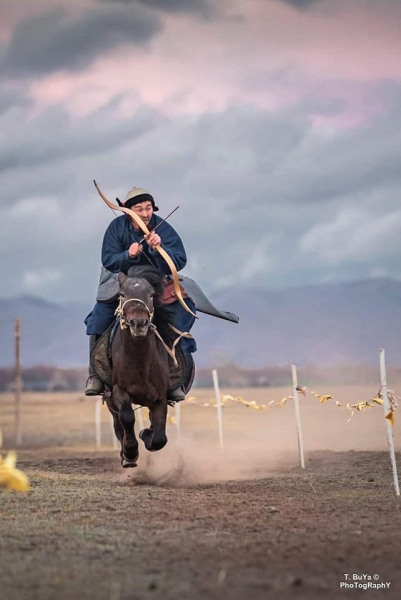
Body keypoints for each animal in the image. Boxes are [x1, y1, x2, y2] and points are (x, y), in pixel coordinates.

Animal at [105, 265, 179, 468]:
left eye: (151, 295)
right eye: (122, 294)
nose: (138, 324)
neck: (140, 363)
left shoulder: (160, 397)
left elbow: (160, 436)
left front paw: (146, 434)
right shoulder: (118, 390)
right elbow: (127, 417)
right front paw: (130, 453)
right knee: (118, 424)